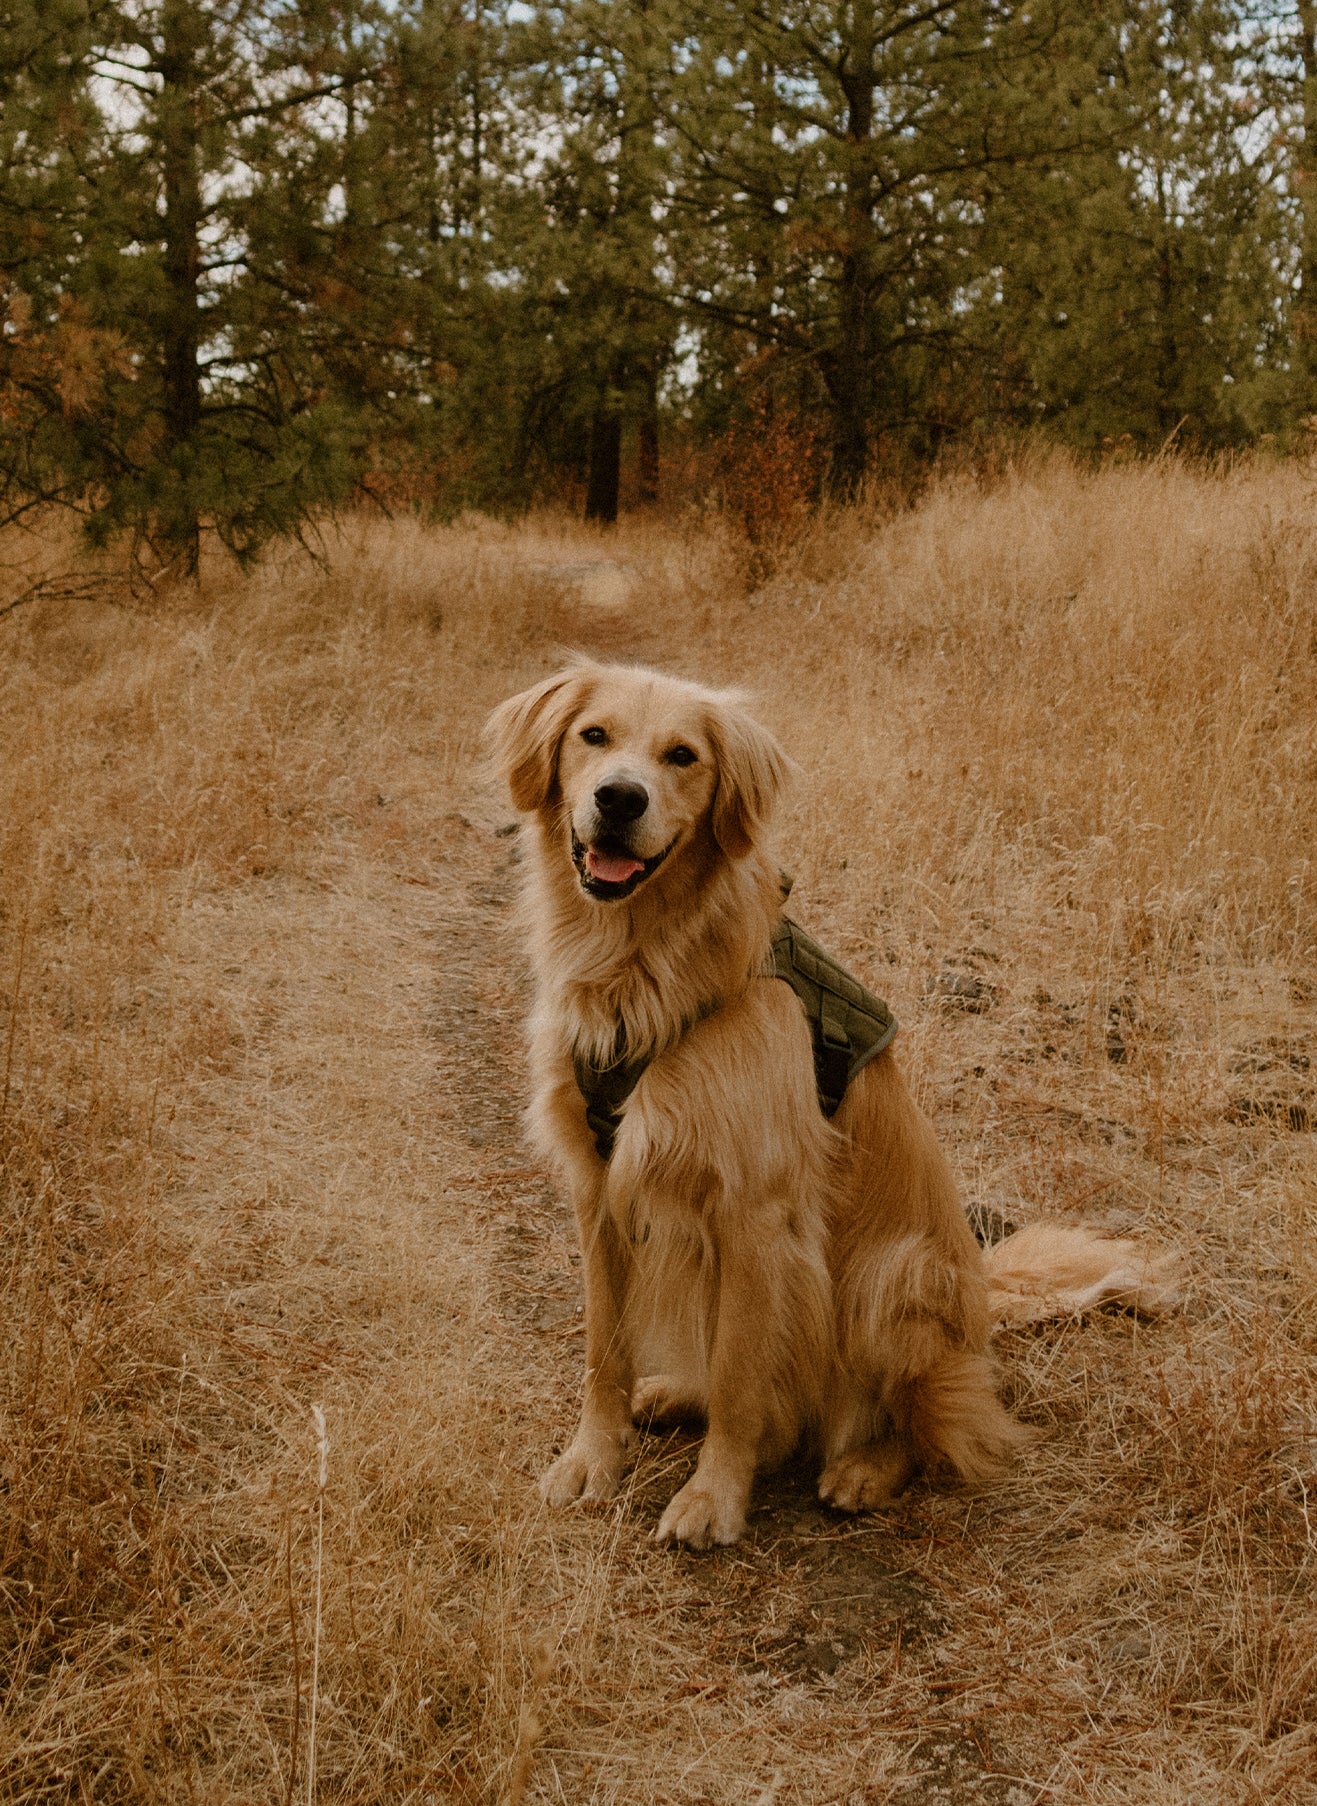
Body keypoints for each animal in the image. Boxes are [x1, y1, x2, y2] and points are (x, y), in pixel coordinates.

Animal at [484, 664, 1185, 1553]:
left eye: (681, 756)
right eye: (593, 737)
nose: (618, 799)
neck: (641, 964)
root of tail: (980, 1303)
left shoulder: (754, 1212)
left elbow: (741, 1378)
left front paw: (713, 1498)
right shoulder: (596, 1186)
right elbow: (603, 1353)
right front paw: (590, 1461)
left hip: (893, 1273)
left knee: (929, 1423)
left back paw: (865, 1467)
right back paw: (676, 1394)